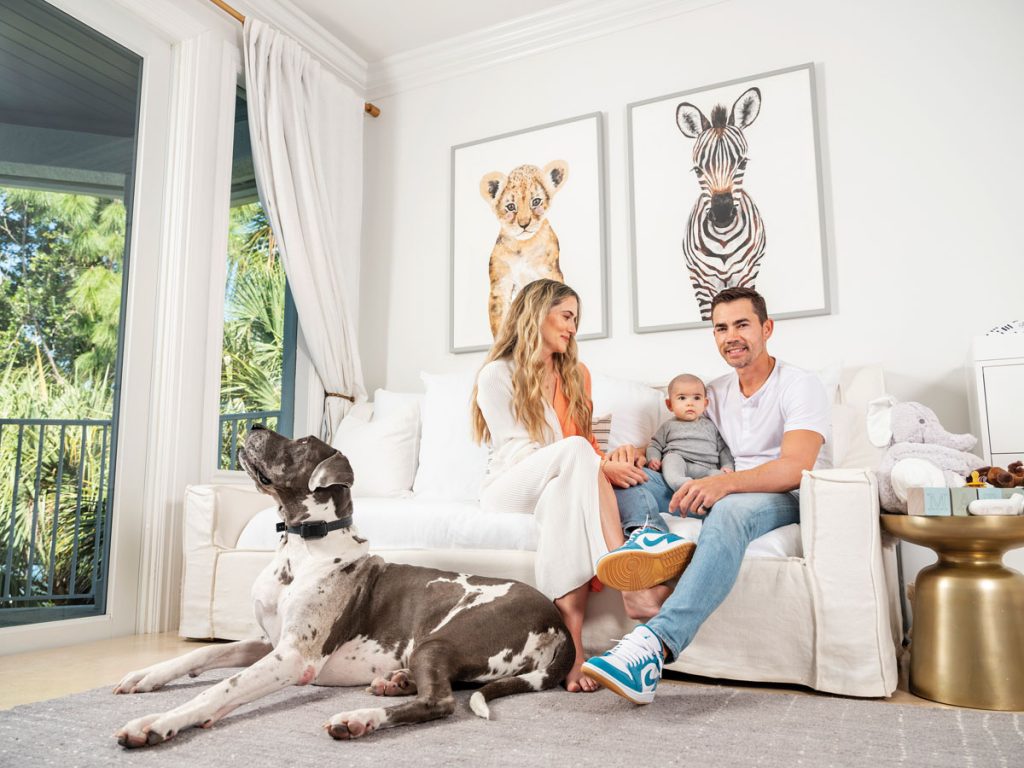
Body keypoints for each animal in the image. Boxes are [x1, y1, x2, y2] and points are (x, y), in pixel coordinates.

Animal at [116, 428, 577, 745]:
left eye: (303, 443)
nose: (255, 426)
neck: (300, 548)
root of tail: (557, 621)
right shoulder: (268, 642)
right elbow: (204, 653)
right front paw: (145, 675)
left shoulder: (292, 657)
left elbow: (220, 688)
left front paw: (158, 721)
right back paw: (395, 682)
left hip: (440, 639)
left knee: (441, 701)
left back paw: (360, 718)